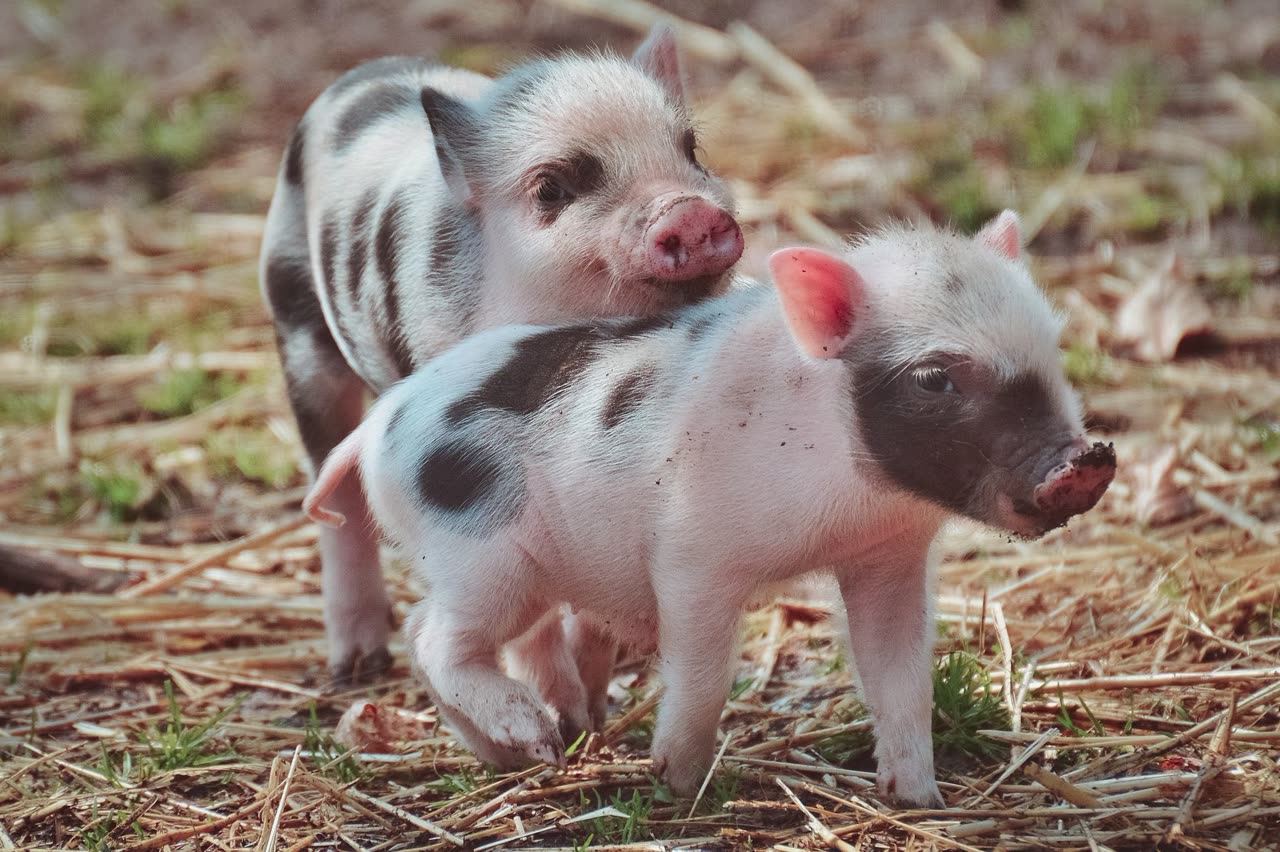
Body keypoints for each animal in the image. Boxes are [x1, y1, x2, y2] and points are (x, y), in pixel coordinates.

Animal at [258, 25, 744, 683]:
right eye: (551, 188)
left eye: (691, 150)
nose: (687, 210)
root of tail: (357, 74)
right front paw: (562, 706)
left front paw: (595, 686)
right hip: (296, 319)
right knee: (334, 493)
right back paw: (357, 667)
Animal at [302, 212, 1116, 806]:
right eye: (934, 379)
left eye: (1052, 347)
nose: (1085, 462)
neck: (850, 500)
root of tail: (379, 425)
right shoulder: (692, 556)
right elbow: (702, 673)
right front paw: (674, 784)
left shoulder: (888, 559)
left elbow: (901, 678)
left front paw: (918, 800)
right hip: (482, 556)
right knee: (435, 638)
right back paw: (537, 739)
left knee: (434, 640)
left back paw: (519, 756)